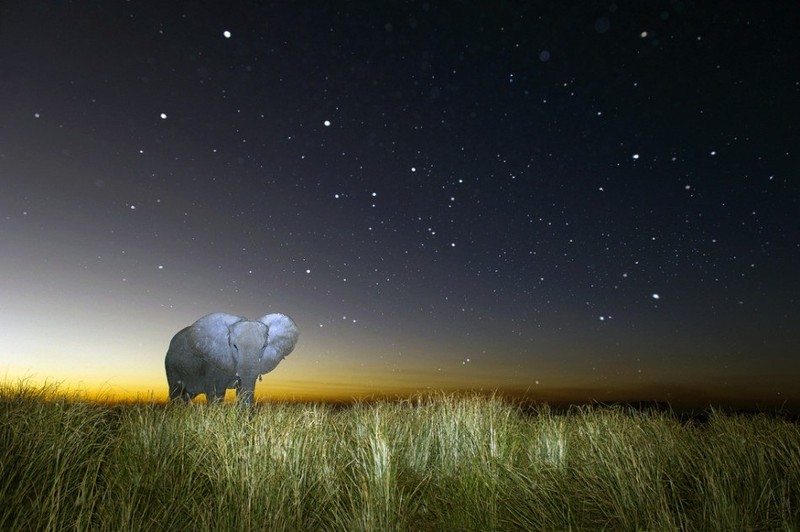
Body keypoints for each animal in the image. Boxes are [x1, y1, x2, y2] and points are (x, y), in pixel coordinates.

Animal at [164, 310, 298, 406]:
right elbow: (216, 393)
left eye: (264, 347)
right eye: (234, 346)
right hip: (171, 365)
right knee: (176, 392)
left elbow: (242, 390)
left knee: (186, 396)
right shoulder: (214, 363)